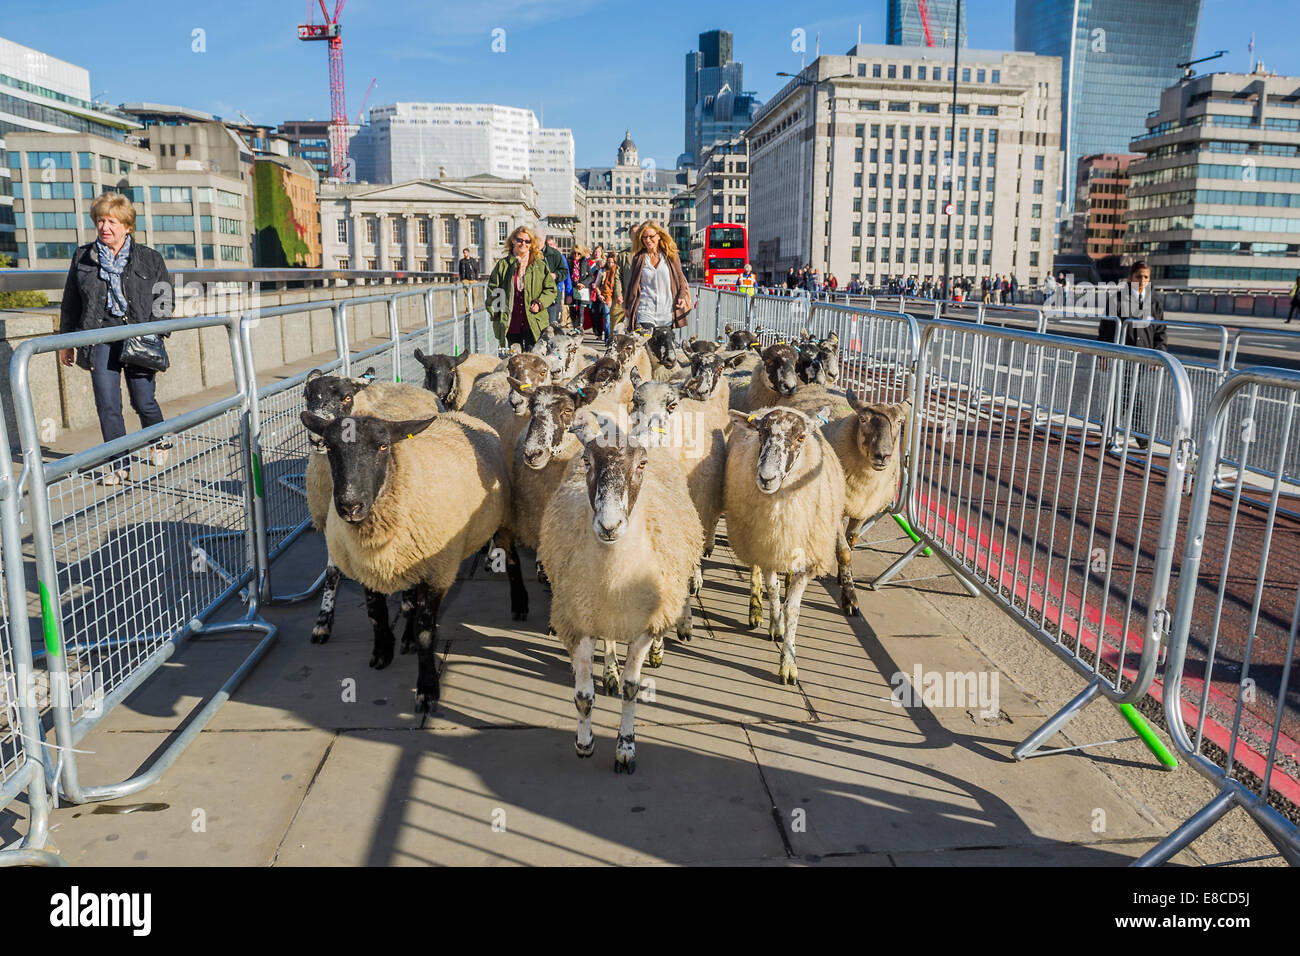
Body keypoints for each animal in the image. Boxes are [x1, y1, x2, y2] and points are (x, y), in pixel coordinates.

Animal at [301, 369, 444, 647]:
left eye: (347, 397)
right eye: (307, 395)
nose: (316, 439)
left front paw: (409, 630)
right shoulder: (333, 523)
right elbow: (331, 573)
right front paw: (322, 623)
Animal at [301, 408, 525, 712]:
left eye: (383, 446)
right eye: (330, 447)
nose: (350, 506)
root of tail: (460, 414)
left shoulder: (438, 572)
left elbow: (425, 632)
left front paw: (427, 688)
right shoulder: (368, 568)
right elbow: (376, 615)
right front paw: (383, 652)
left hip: (501, 519)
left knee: (511, 556)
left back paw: (520, 604)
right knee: (409, 599)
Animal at [722, 403, 852, 686]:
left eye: (801, 437)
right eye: (761, 433)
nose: (766, 479)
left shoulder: (807, 559)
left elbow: (793, 610)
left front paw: (789, 663)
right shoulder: (767, 547)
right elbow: (773, 589)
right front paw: (775, 624)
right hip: (753, 539)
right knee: (756, 571)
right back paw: (756, 609)